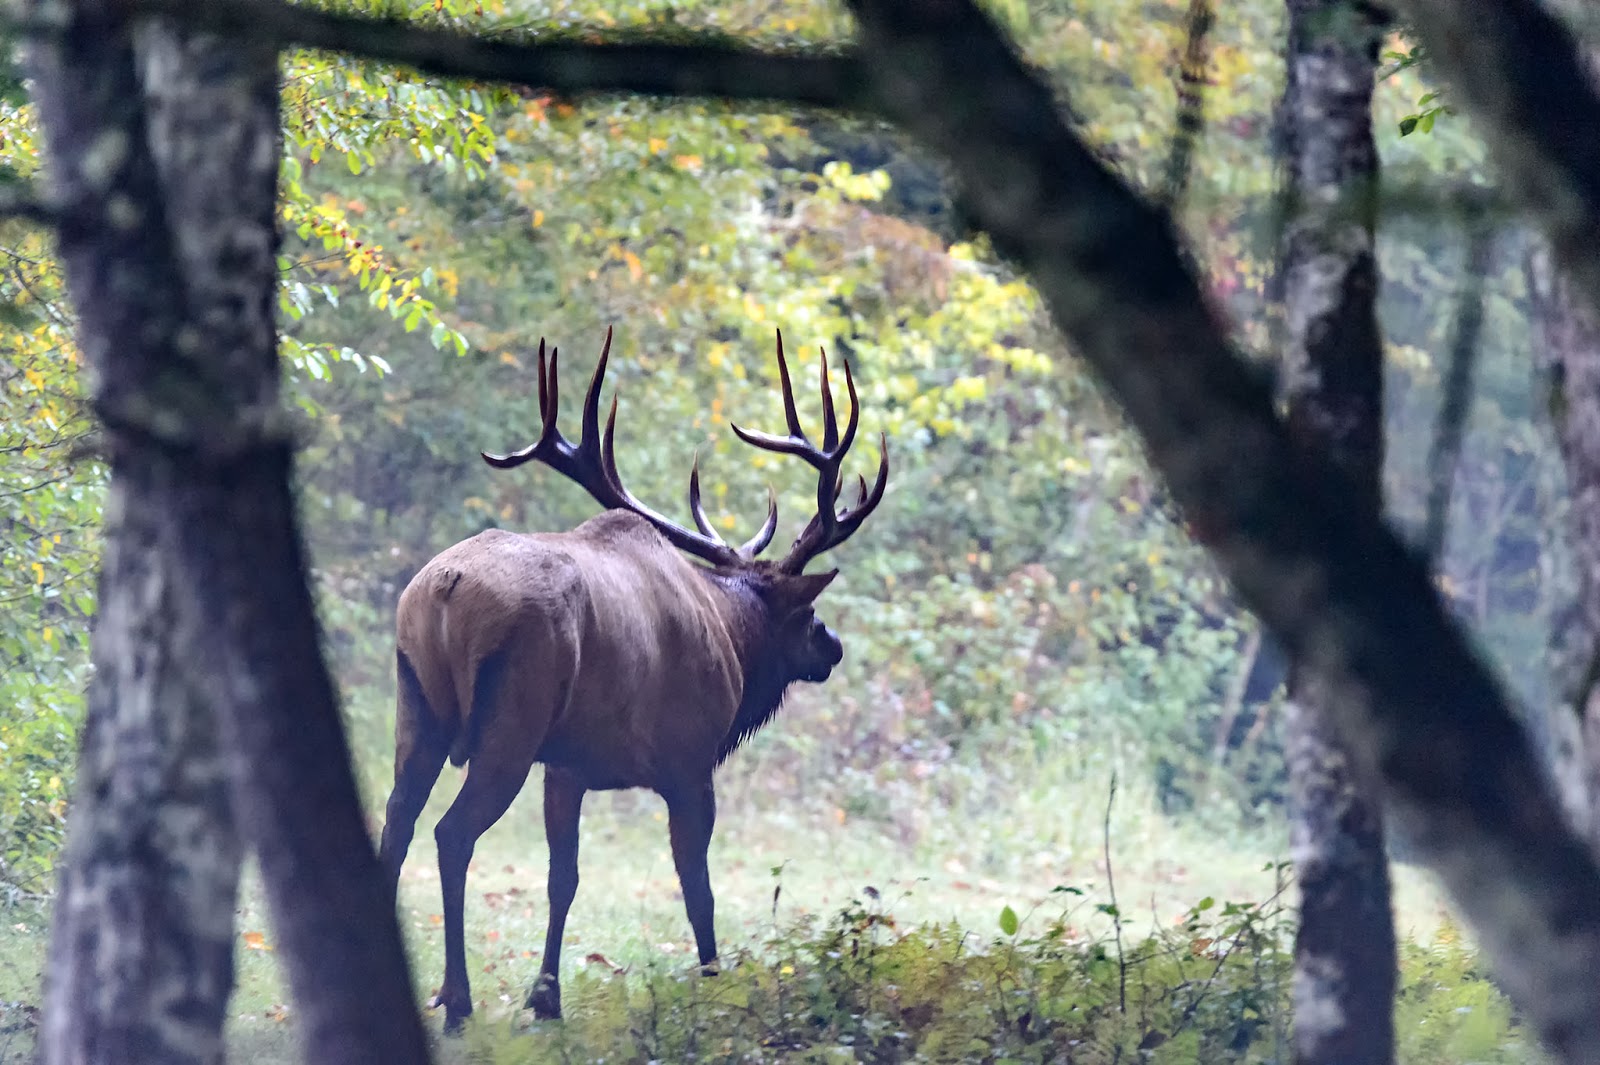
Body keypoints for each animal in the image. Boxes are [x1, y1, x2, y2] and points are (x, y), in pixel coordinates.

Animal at [376, 327, 888, 1031]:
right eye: (807, 613)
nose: (833, 647)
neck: (731, 634)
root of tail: (444, 589)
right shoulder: (689, 759)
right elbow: (696, 884)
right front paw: (712, 982)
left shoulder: (567, 766)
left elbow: (562, 878)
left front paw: (547, 998)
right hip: (512, 722)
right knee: (451, 834)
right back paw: (457, 1001)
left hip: (416, 705)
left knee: (395, 823)